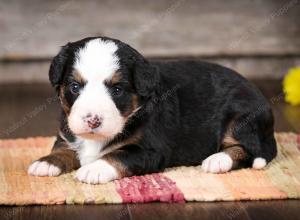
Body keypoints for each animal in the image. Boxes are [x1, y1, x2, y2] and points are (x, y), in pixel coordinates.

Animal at [27, 36, 276, 184]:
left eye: (117, 89)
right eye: (75, 86)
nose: (92, 120)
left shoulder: (151, 150)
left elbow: (118, 155)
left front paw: (94, 168)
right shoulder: (67, 132)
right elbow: (63, 148)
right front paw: (47, 162)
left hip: (241, 118)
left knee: (249, 150)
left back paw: (217, 160)